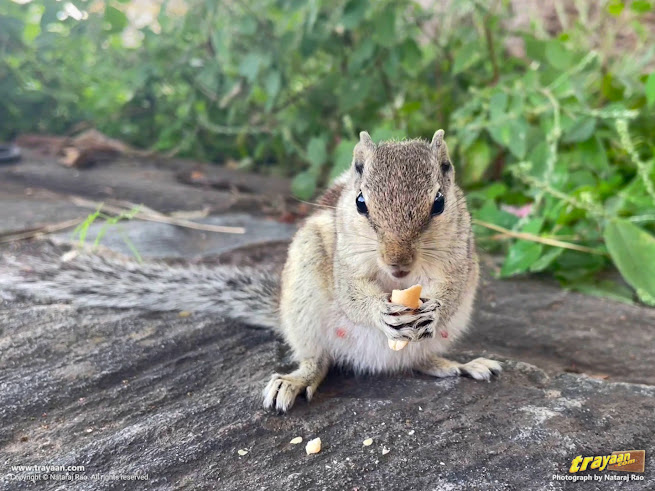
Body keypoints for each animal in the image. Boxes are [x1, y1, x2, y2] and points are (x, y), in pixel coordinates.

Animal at [1, 130, 502, 412]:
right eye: (361, 203)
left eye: (439, 203)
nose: (398, 263)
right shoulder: (340, 258)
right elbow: (352, 293)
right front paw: (378, 310)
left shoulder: (462, 257)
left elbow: (451, 286)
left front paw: (433, 307)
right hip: (305, 301)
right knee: (319, 361)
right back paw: (297, 380)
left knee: (419, 361)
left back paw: (458, 364)